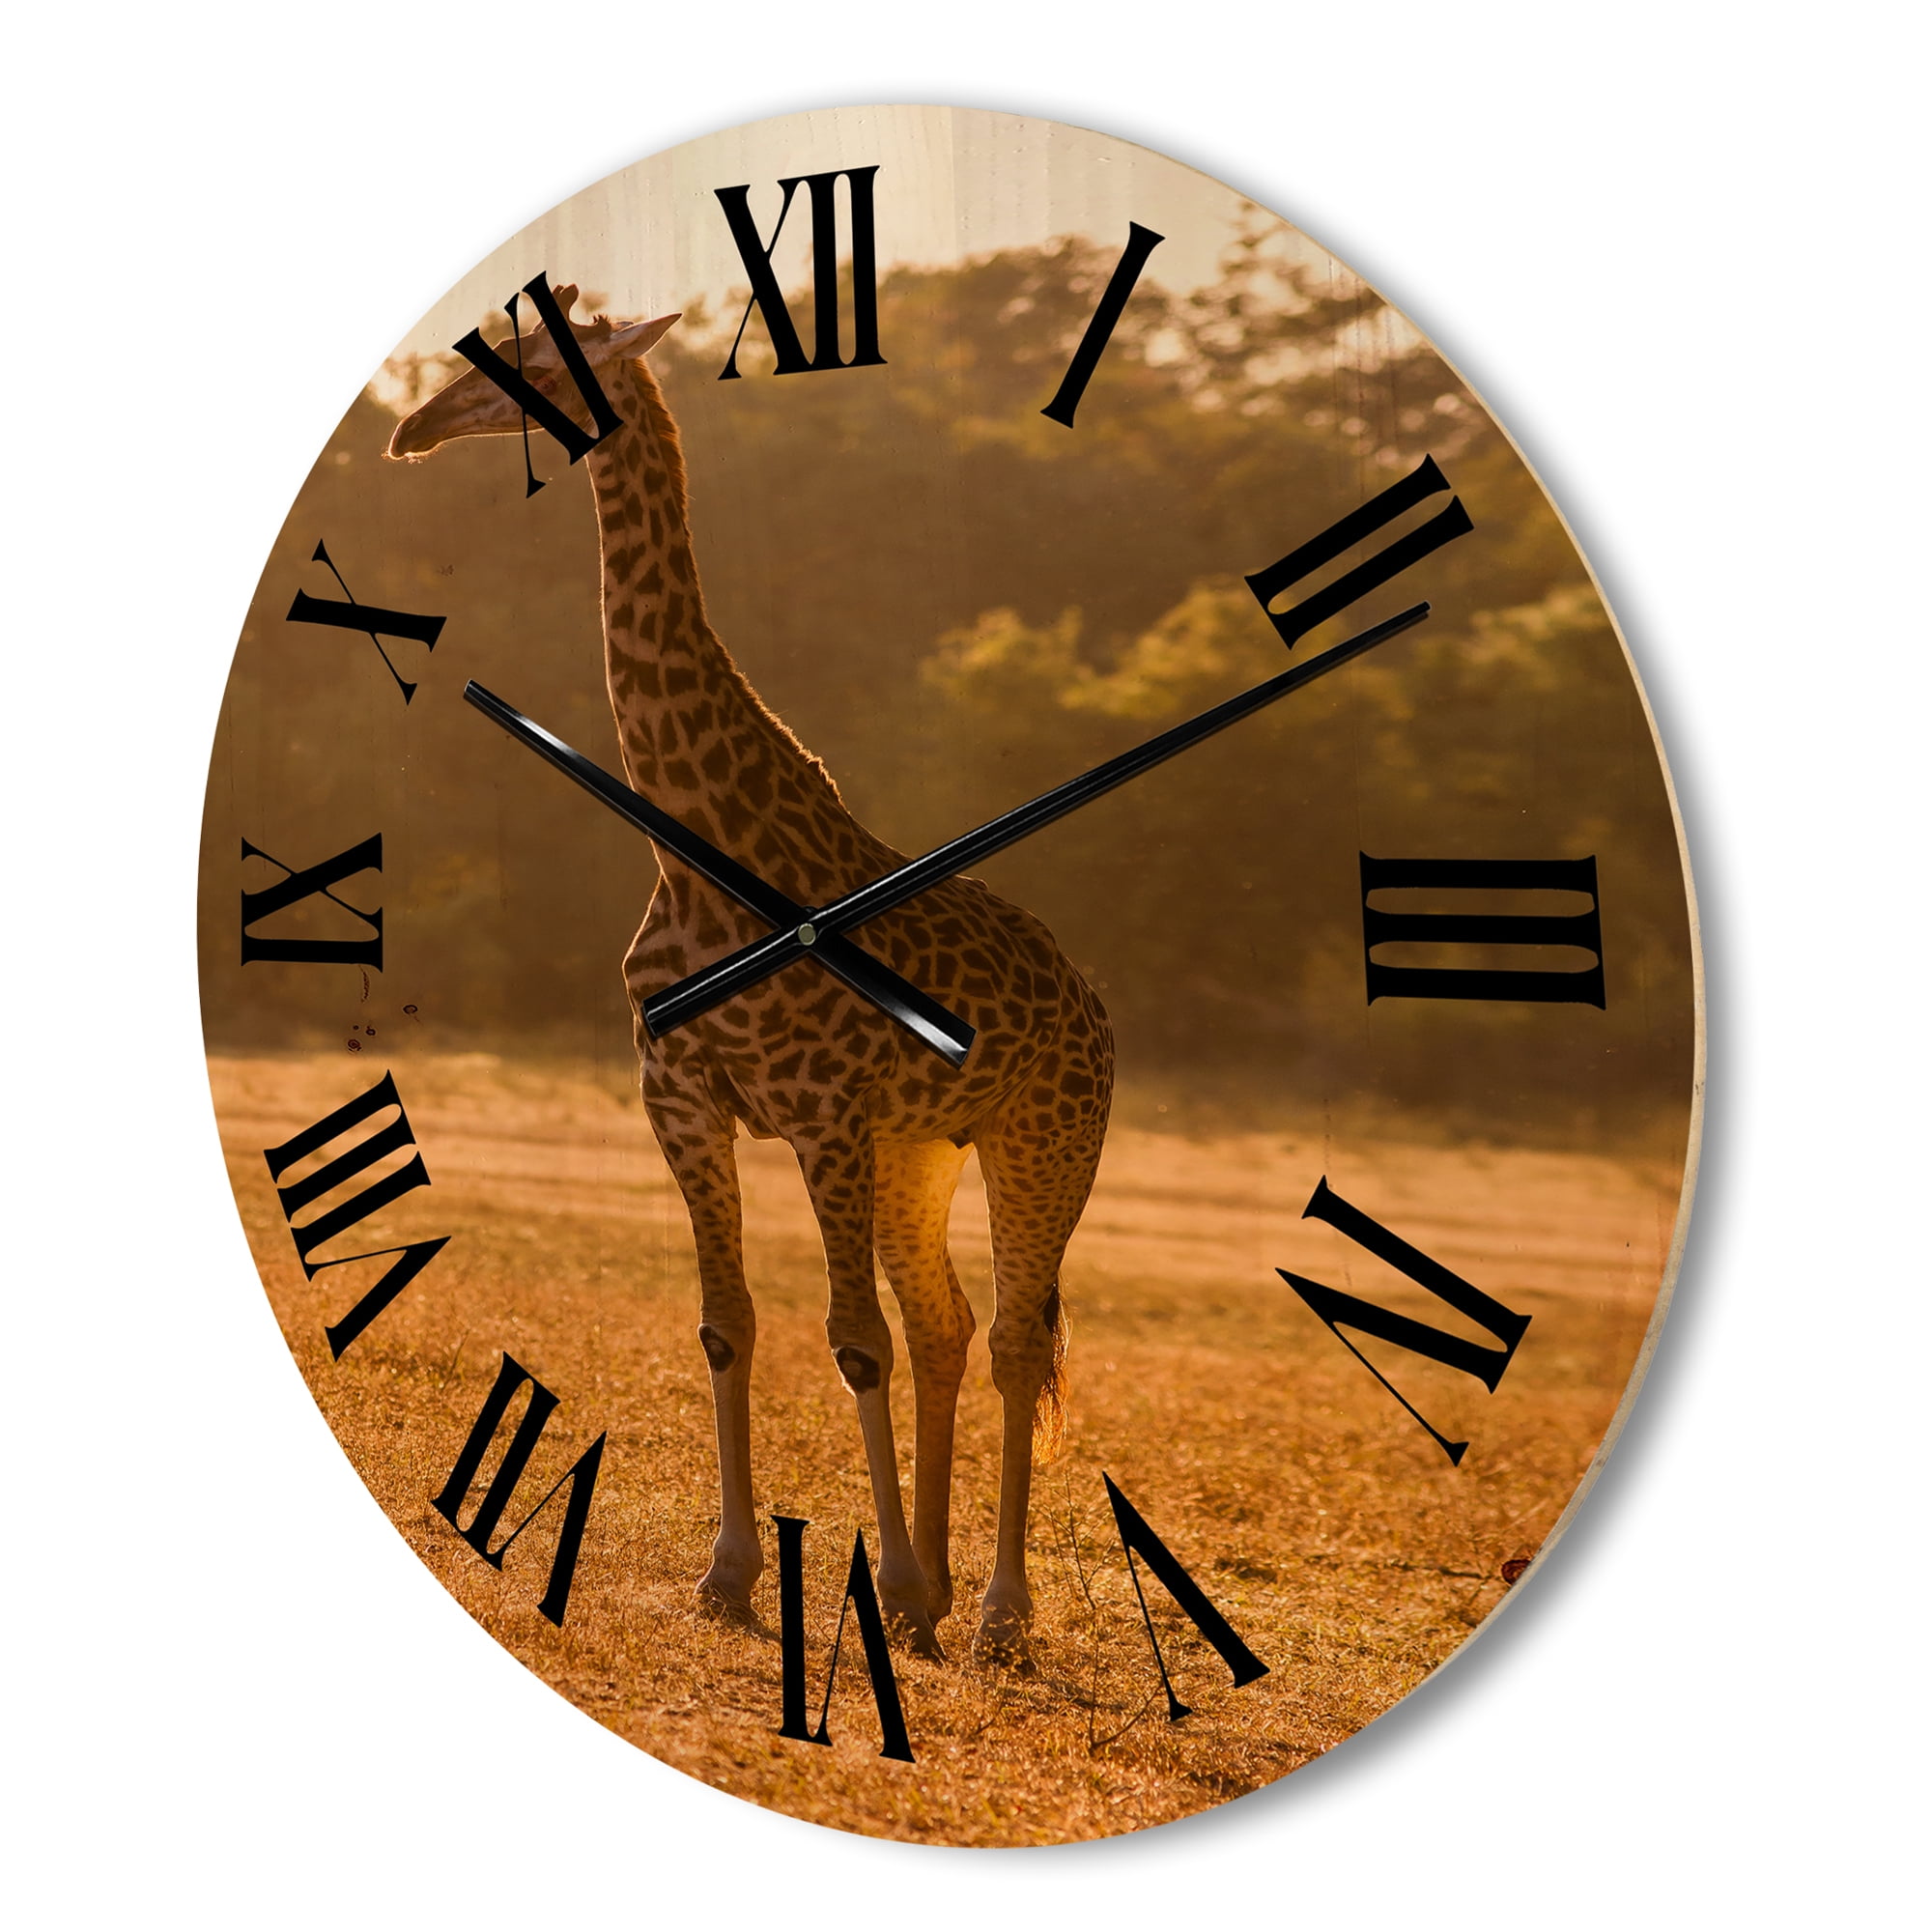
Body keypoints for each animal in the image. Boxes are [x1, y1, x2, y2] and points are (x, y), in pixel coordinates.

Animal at [388, 295, 1114, 1663]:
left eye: (541, 351)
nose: (412, 428)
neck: (691, 845)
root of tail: (1094, 1003)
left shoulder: (820, 1115)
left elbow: (851, 1343)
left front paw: (882, 1584)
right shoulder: (682, 1098)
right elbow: (731, 1323)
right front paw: (733, 1573)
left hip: (1041, 1139)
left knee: (1005, 1337)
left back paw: (992, 1610)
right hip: (916, 1152)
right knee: (943, 1326)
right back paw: (936, 1589)